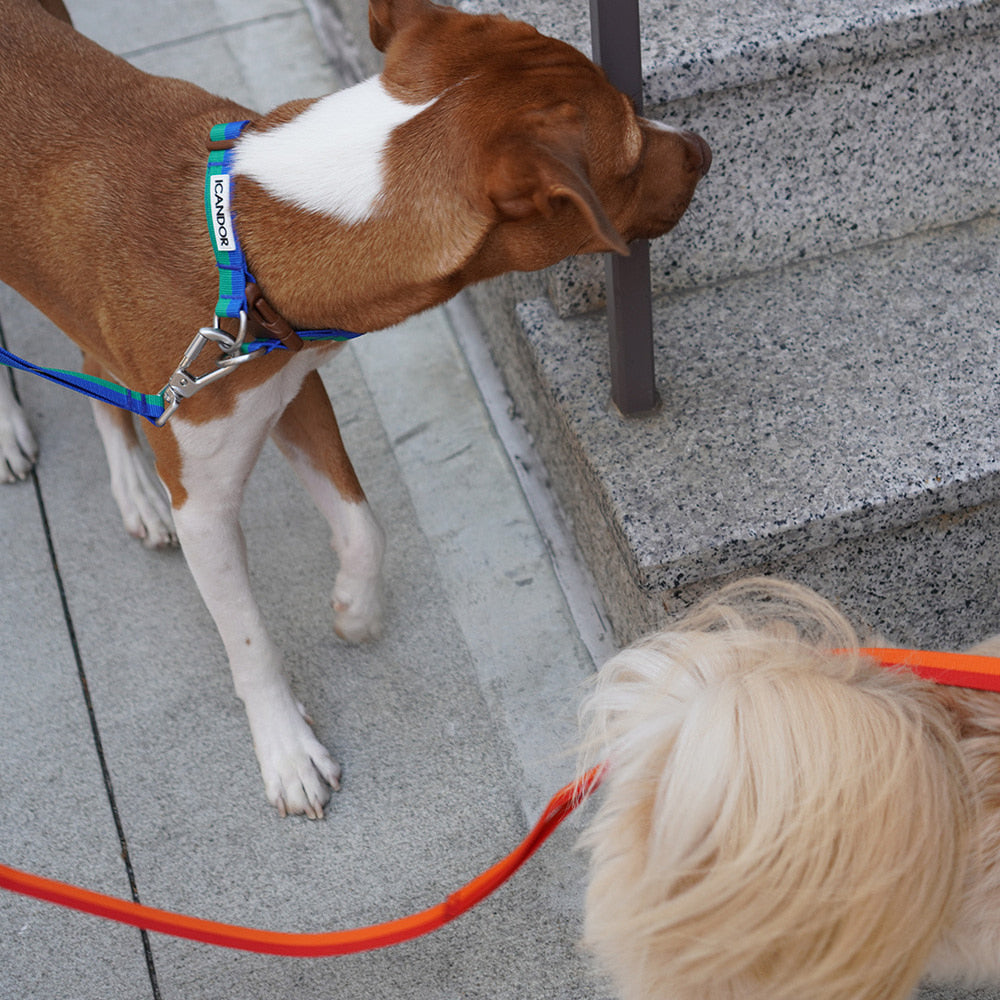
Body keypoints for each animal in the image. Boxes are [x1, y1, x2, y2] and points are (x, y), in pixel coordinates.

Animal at [0, 0, 712, 812]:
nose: (702, 148)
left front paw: (356, 610)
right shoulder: (203, 501)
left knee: (95, 365)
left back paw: (132, 490)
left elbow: (363, 524)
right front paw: (286, 749)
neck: (242, 237)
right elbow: (250, 642)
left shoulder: (291, 389)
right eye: (631, 152)